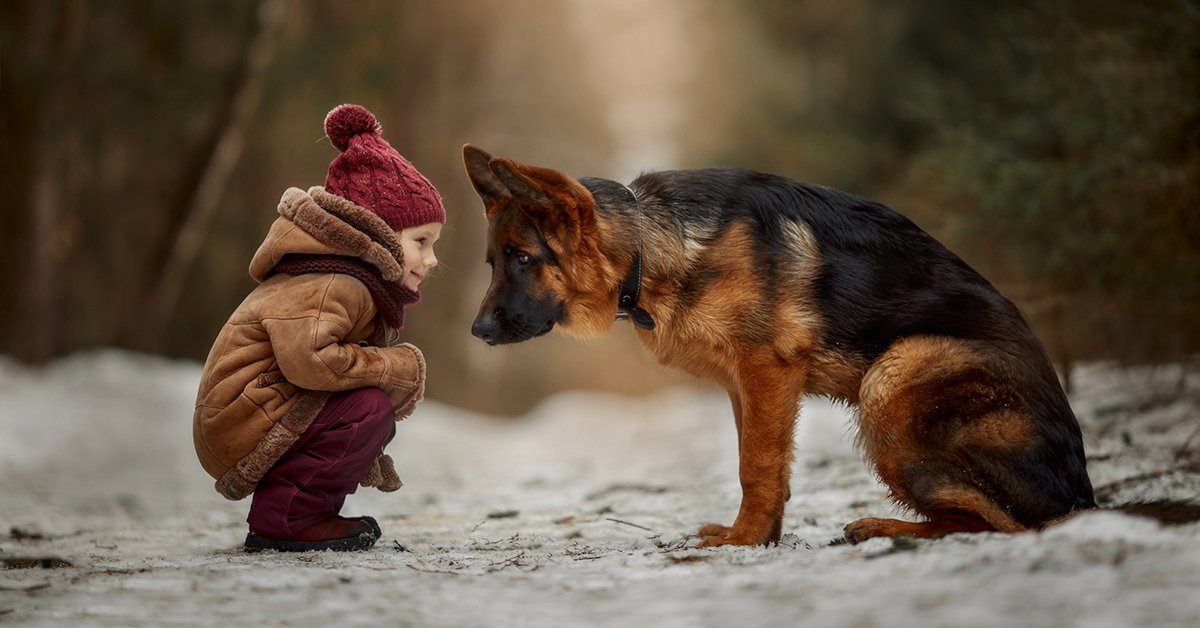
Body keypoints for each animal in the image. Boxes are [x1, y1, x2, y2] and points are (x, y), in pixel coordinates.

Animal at [460, 145, 1099, 547]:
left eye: (523, 259)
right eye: (492, 263)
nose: (478, 333)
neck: (651, 242)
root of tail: (1083, 492)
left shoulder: (767, 370)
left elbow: (758, 466)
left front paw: (743, 542)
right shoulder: (744, 386)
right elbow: (762, 463)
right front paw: (757, 537)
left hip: (893, 375)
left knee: (1009, 523)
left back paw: (886, 529)